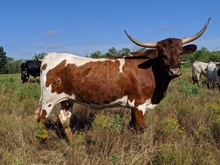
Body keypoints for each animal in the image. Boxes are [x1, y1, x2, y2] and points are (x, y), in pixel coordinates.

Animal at [34, 18, 210, 142]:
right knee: (40, 118)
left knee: (64, 118)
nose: (174, 71)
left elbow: (132, 126)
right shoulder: (139, 104)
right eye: (163, 55)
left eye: (180, 53)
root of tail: (50, 57)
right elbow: (140, 128)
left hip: (67, 99)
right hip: (48, 100)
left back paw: (73, 143)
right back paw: (42, 142)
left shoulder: (133, 106)